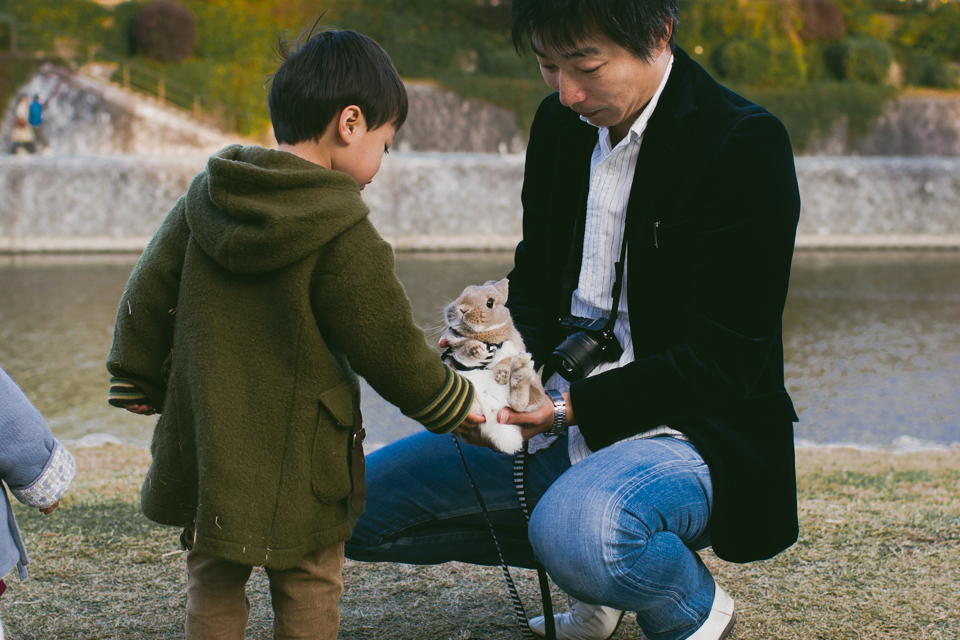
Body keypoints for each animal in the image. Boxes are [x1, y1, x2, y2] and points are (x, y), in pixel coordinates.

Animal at [438, 278, 544, 452]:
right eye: (462, 294)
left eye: (490, 303)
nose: (463, 309)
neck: (484, 336)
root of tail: (493, 411)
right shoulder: (456, 345)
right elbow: (465, 348)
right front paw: (477, 349)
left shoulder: (513, 346)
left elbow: (505, 360)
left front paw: (501, 375)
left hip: (535, 393)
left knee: (519, 404)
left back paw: (521, 367)